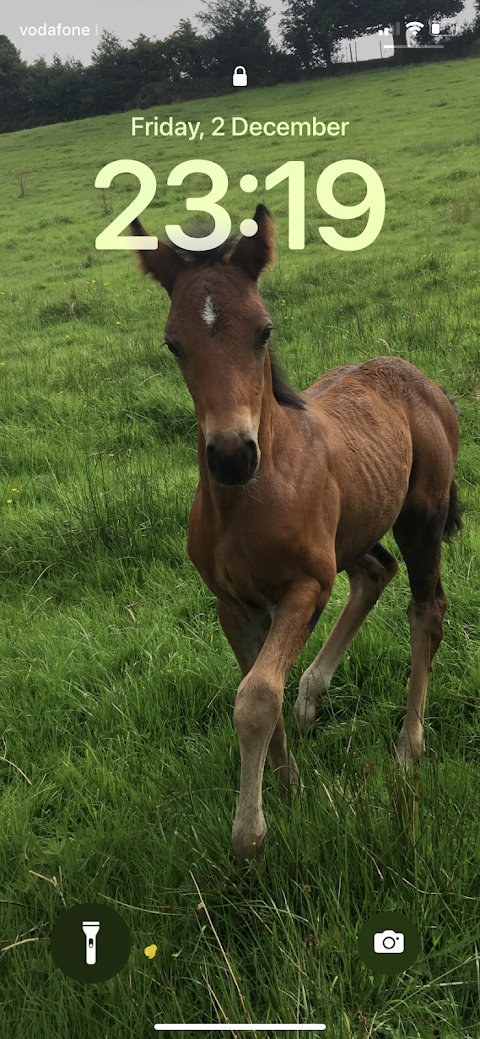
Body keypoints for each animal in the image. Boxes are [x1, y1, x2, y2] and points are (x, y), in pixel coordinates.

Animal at [130, 206, 461, 864]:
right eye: (173, 343)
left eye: (263, 331)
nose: (232, 454)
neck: (249, 498)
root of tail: (425, 383)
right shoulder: (232, 602)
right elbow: (261, 687)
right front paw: (289, 784)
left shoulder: (305, 586)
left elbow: (256, 696)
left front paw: (251, 832)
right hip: (355, 523)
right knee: (374, 572)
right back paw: (313, 690)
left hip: (421, 520)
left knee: (426, 611)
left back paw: (407, 748)